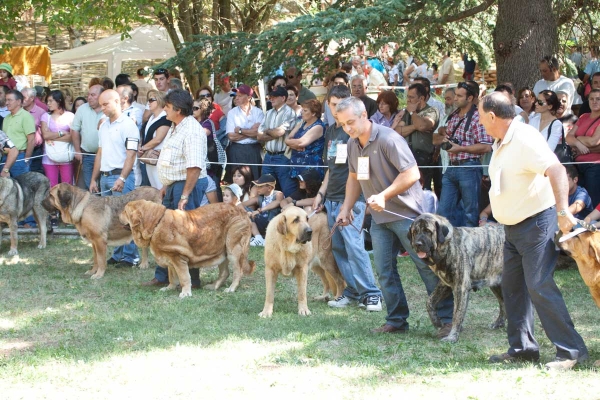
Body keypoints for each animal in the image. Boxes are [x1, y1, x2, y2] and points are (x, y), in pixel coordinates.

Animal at [119, 200, 255, 296]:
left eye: (125, 211)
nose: (118, 214)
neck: (155, 224)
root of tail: (242, 211)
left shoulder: (178, 258)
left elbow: (184, 277)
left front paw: (185, 293)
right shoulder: (170, 258)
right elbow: (172, 277)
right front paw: (169, 288)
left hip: (233, 250)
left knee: (238, 272)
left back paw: (231, 289)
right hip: (222, 251)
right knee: (225, 272)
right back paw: (213, 286)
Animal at [408, 214, 506, 342]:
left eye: (428, 231)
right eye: (415, 232)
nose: (417, 244)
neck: (448, 246)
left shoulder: (460, 288)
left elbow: (457, 314)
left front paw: (452, 336)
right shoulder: (445, 284)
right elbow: (429, 302)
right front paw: (437, 322)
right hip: (495, 283)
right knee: (503, 303)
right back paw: (499, 323)